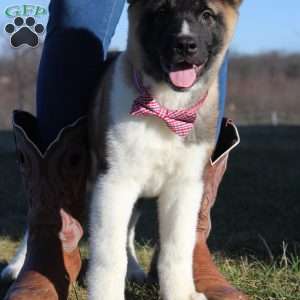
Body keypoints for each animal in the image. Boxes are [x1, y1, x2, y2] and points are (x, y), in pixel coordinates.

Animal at [88, 0, 241, 300]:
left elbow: (176, 250)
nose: (185, 44)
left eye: (207, 15)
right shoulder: (114, 182)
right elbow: (109, 254)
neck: (167, 107)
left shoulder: (184, 188)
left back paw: (135, 270)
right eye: (161, 12)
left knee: (129, 232)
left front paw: (180, 292)